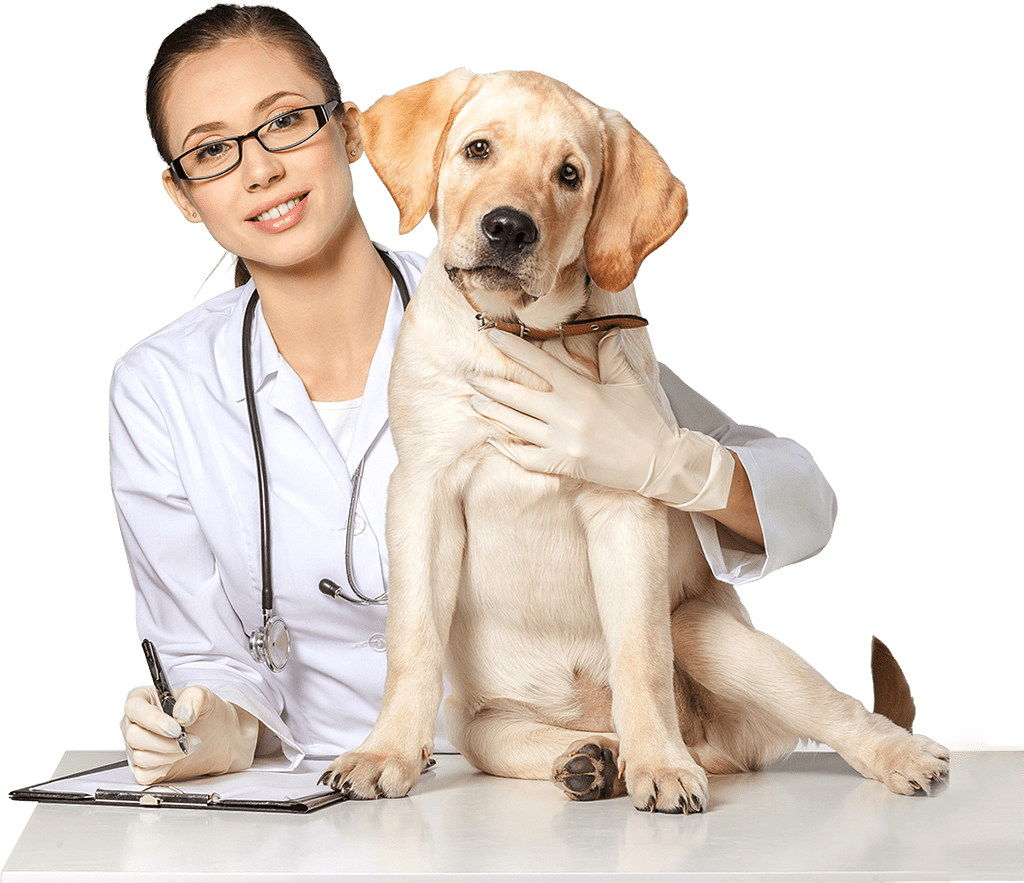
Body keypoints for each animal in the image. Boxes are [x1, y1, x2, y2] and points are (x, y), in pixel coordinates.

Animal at [321, 69, 950, 815]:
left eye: (569, 175)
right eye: (478, 149)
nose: (508, 228)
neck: (522, 339)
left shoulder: (627, 510)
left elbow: (639, 655)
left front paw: (660, 764)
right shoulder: (423, 490)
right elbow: (412, 638)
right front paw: (386, 751)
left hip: (708, 634)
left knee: (834, 709)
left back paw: (890, 754)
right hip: (478, 726)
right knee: (525, 735)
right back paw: (593, 760)